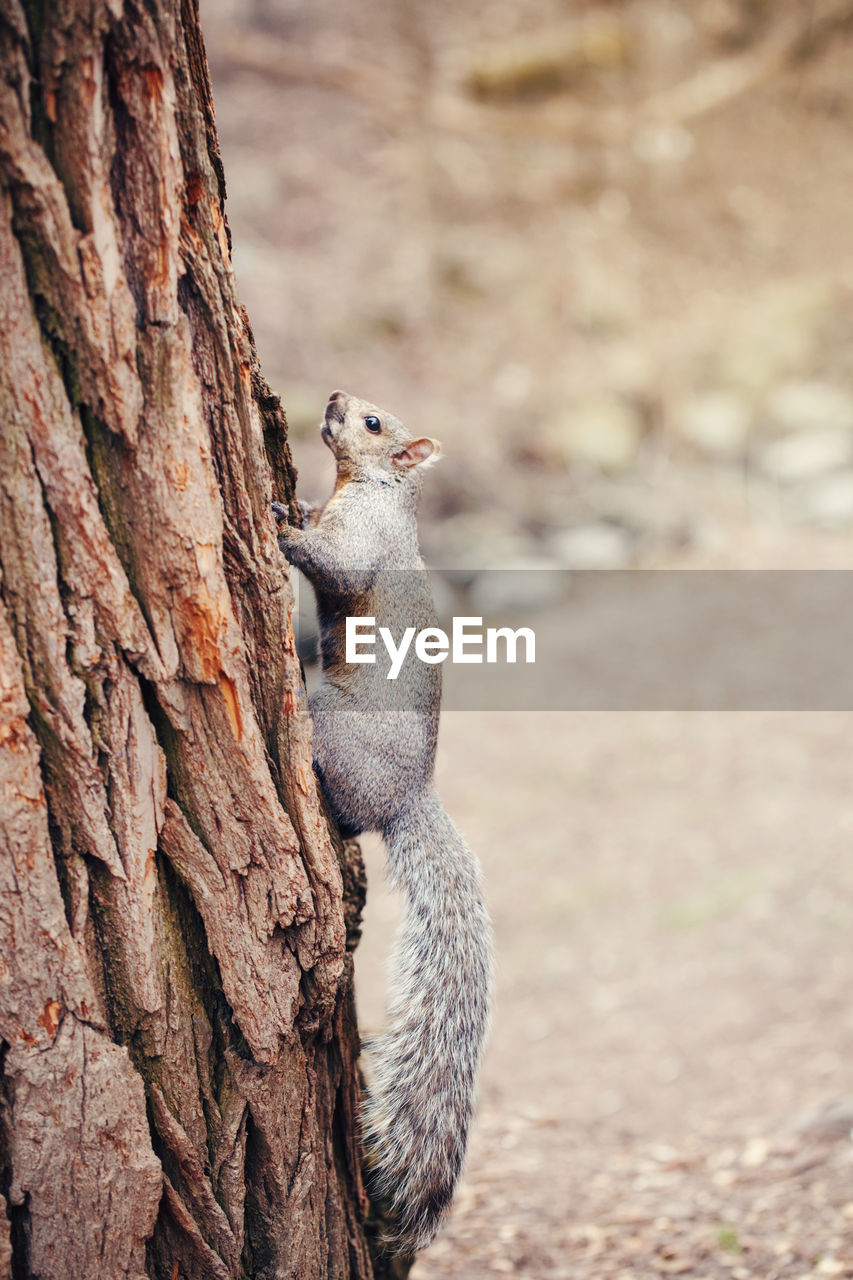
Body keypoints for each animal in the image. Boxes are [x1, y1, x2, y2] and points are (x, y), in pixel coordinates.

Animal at [274, 389, 491, 1249]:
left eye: (372, 425)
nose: (334, 398)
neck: (367, 489)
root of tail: (404, 794)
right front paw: (296, 506)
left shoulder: (362, 544)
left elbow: (336, 566)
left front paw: (284, 527)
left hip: (334, 724)